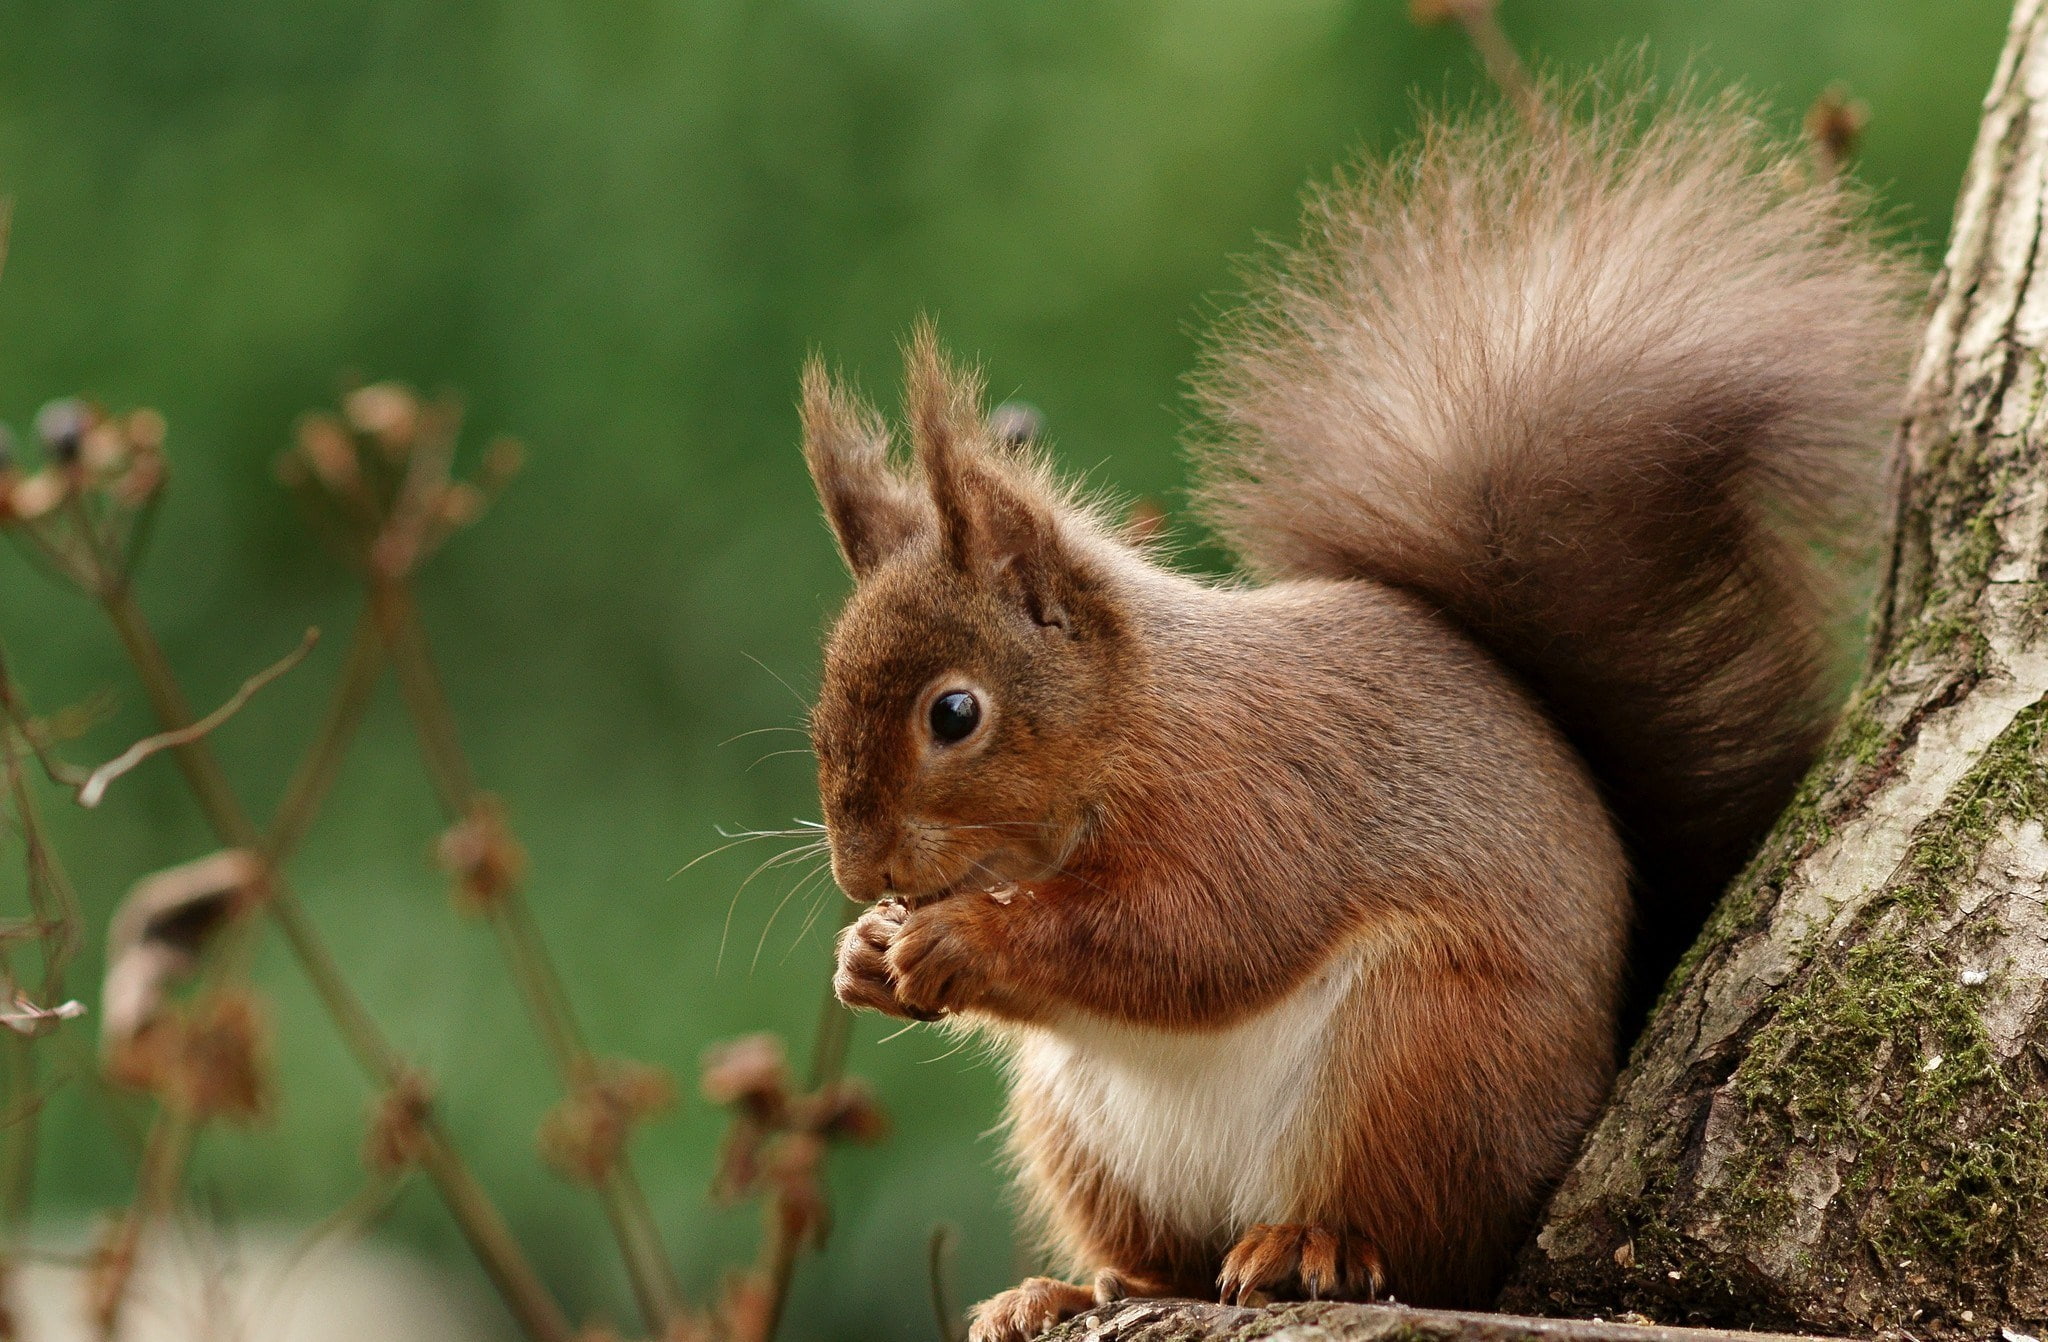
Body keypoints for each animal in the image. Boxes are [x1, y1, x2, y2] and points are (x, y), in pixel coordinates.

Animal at [796, 87, 1915, 1340]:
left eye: (954, 713)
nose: (856, 869)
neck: (1133, 724)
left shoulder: (1257, 796)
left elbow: (1190, 936)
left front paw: (956, 939)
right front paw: (862, 954)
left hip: (1420, 1057)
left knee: (1412, 1239)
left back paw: (1309, 1247)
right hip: (1083, 1132)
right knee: (1170, 1260)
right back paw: (1068, 1287)